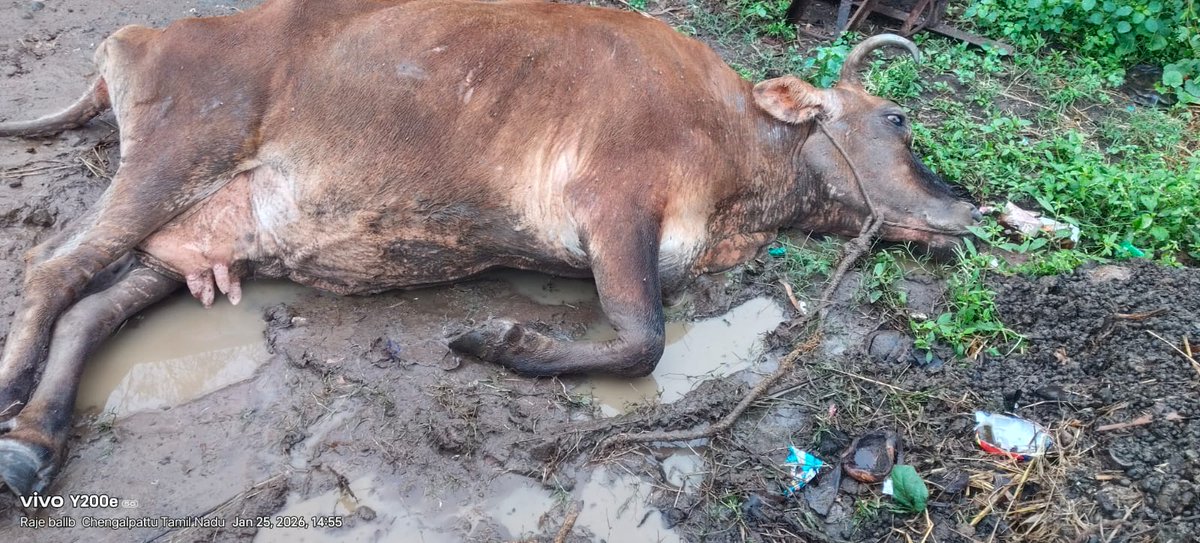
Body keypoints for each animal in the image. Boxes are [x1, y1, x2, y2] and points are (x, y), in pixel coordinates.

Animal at [0, 0, 980, 496]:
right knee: (52, 267)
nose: (967, 207)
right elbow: (642, 339)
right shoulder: (614, 202)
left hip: (204, 239)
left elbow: (640, 337)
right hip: (174, 154)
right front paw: (497, 340)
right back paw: (13, 395)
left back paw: (33, 442)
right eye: (897, 119)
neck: (738, 159)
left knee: (91, 307)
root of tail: (142, 34)